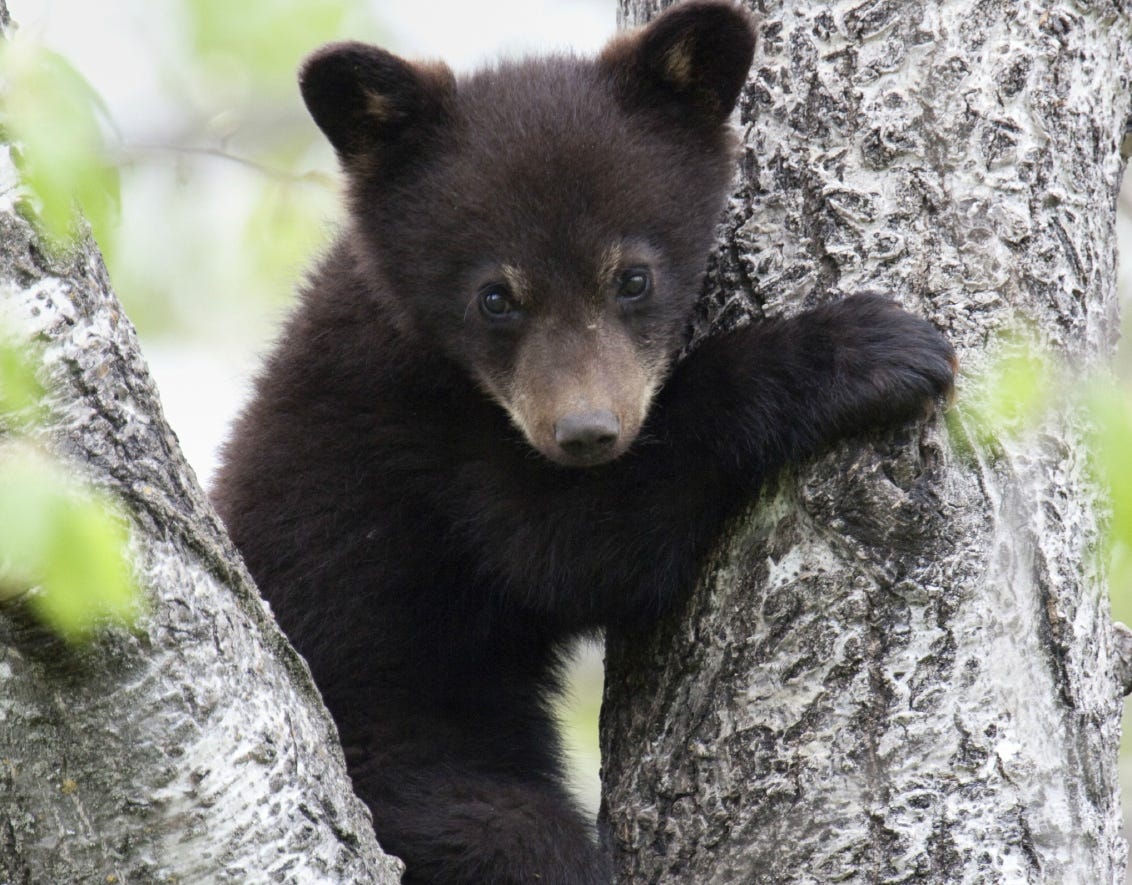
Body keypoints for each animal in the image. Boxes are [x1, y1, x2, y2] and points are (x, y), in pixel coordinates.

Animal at [212, 3, 955, 883]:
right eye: (495, 296)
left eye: (633, 277)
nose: (586, 432)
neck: (432, 358)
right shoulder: (421, 442)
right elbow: (579, 551)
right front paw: (861, 348)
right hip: (402, 768)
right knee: (518, 838)